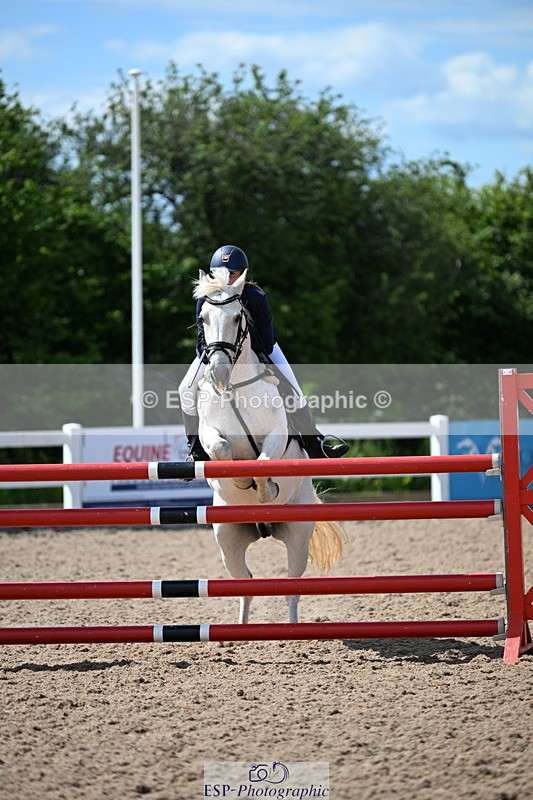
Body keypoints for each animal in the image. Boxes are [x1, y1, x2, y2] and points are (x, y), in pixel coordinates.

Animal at [192, 267, 345, 624]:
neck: (235, 387)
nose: (218, 373)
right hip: (228, 540)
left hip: (298, 535)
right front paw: (239, 481)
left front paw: (265, 491)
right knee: (245, 585)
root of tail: (263, 529)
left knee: (292, 586)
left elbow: (262, 463)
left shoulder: (276, 434)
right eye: (202, 318)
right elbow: (221, 451)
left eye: (238, 317)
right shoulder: (210, 433)